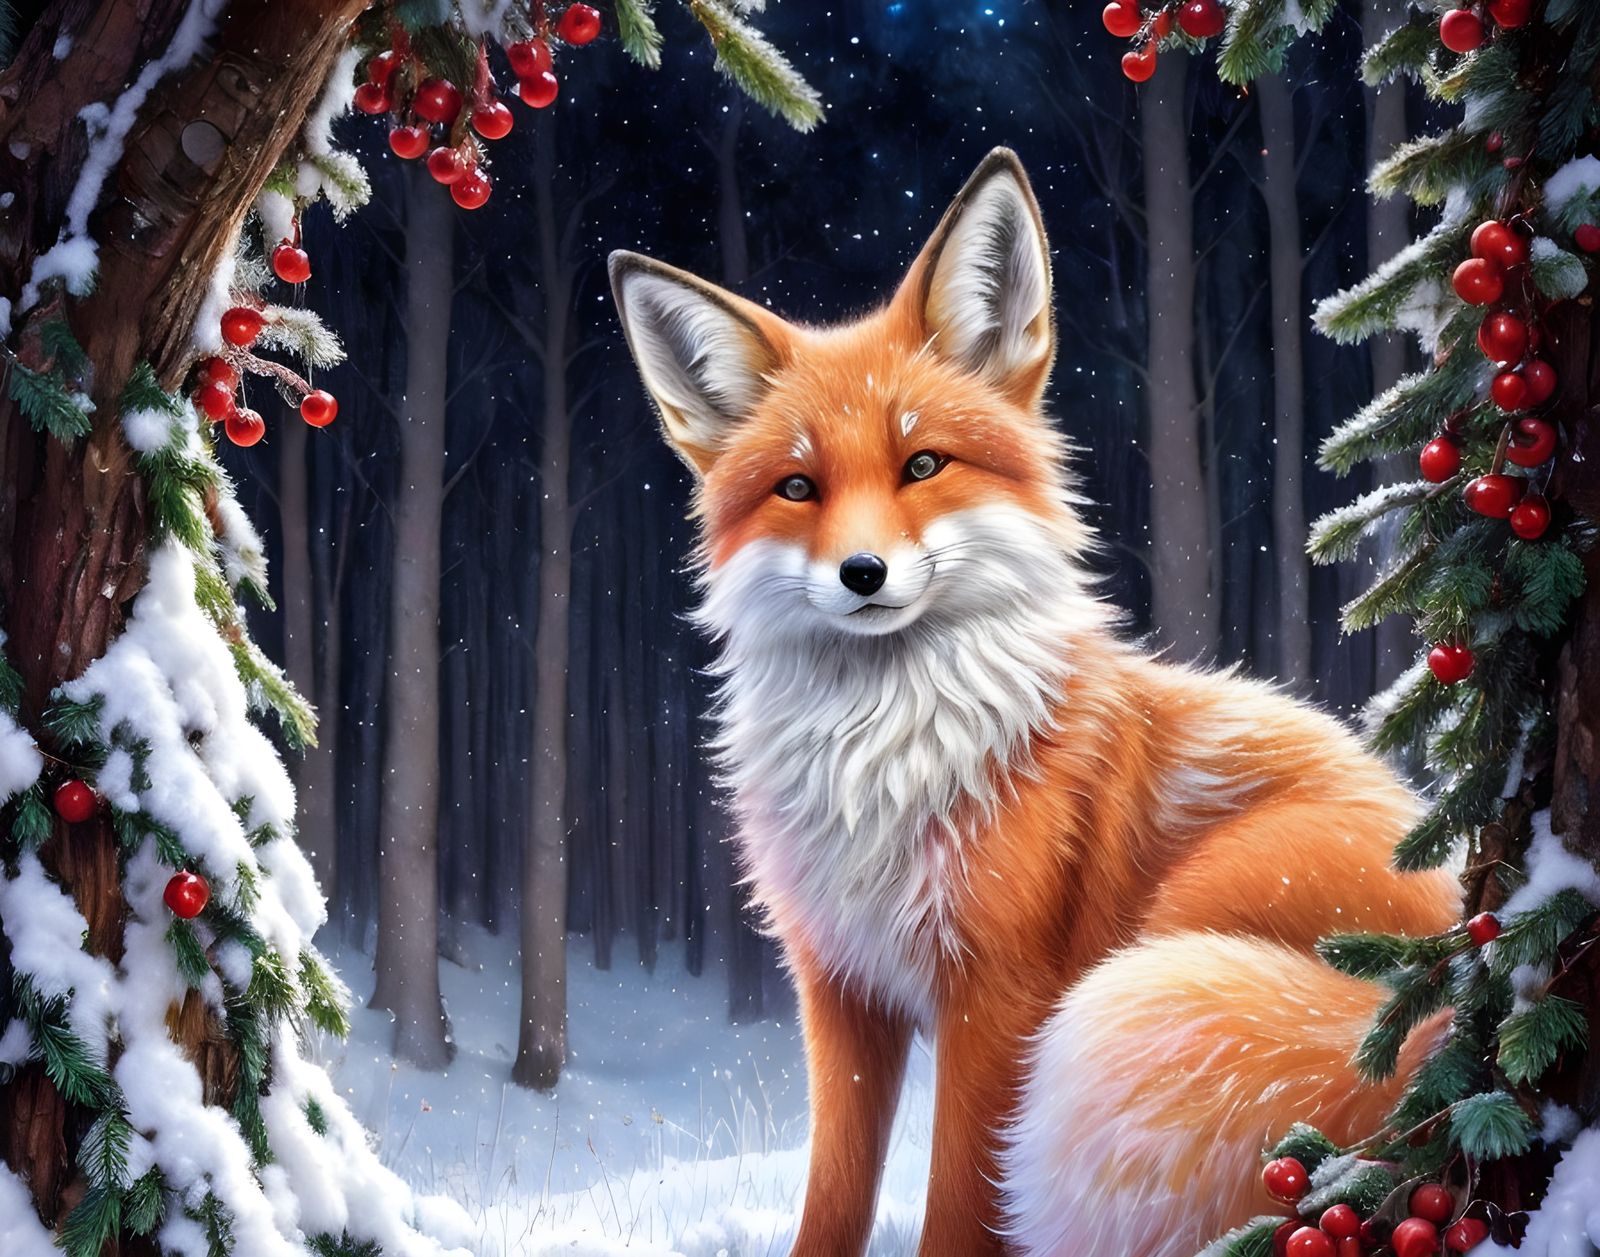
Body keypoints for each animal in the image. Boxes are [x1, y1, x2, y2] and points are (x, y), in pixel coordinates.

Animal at [608, 149, 1459, 1257]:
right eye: (798, 487)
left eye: (922, 464)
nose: (862, 573)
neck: (883, 759)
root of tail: (1441, 1004)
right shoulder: (840, 987)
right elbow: (834, 1188)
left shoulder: (1001, 992)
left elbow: (959, 1206)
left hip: (1164, 937)